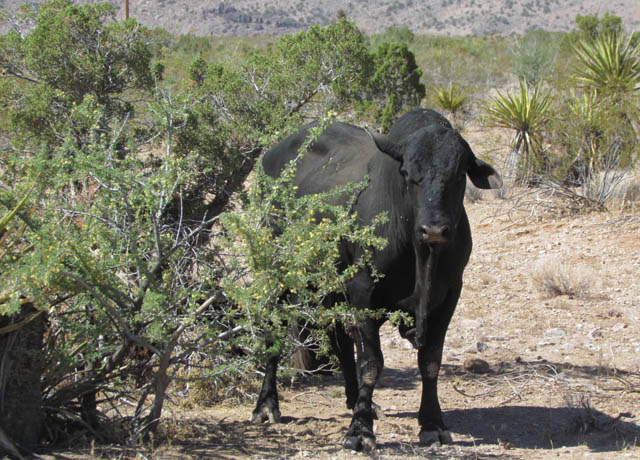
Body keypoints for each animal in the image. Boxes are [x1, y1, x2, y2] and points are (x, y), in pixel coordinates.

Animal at [252, 108, 502, 451]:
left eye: (458, 174)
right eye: (408, 173)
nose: (434, 230)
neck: (420, 256)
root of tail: (271, 155)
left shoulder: (450, 294)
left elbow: (430, 361)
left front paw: (432, 423)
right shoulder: (363, 292)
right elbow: (371, 364)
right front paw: (360, 431)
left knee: (339, 338)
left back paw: (356, 400)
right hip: (278, 272)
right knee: (272, 330)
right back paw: (266, 404)